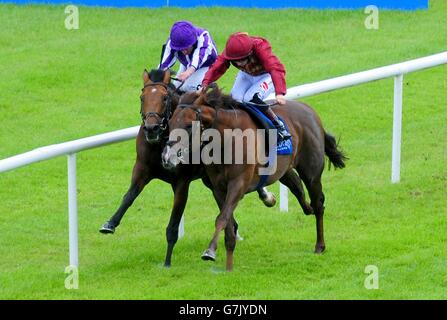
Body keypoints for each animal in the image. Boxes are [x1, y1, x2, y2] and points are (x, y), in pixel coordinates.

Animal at [100, 70, 276, 268]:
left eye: (164, 98)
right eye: (142, 97)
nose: (151, 128)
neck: (161, 142)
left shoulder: (181, 182)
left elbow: (173, 223)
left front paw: (167, 262)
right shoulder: (142, 168)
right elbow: (129, 196)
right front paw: (110, 223)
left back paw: (266, 197)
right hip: (210, 179)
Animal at [163, 87, 348, 270]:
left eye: (188, 125)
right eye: (170, 124)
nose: (167, 157)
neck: (225, 140)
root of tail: (309, 110)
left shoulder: (238, 184)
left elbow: (222, 218)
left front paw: (210, 251)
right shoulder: (218, 188)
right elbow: (227, 220)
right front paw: (228, 263)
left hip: (311, 172)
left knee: (318, 204)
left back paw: (320, 245)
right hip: (283, 170)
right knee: (298, 188)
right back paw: (306, 209)